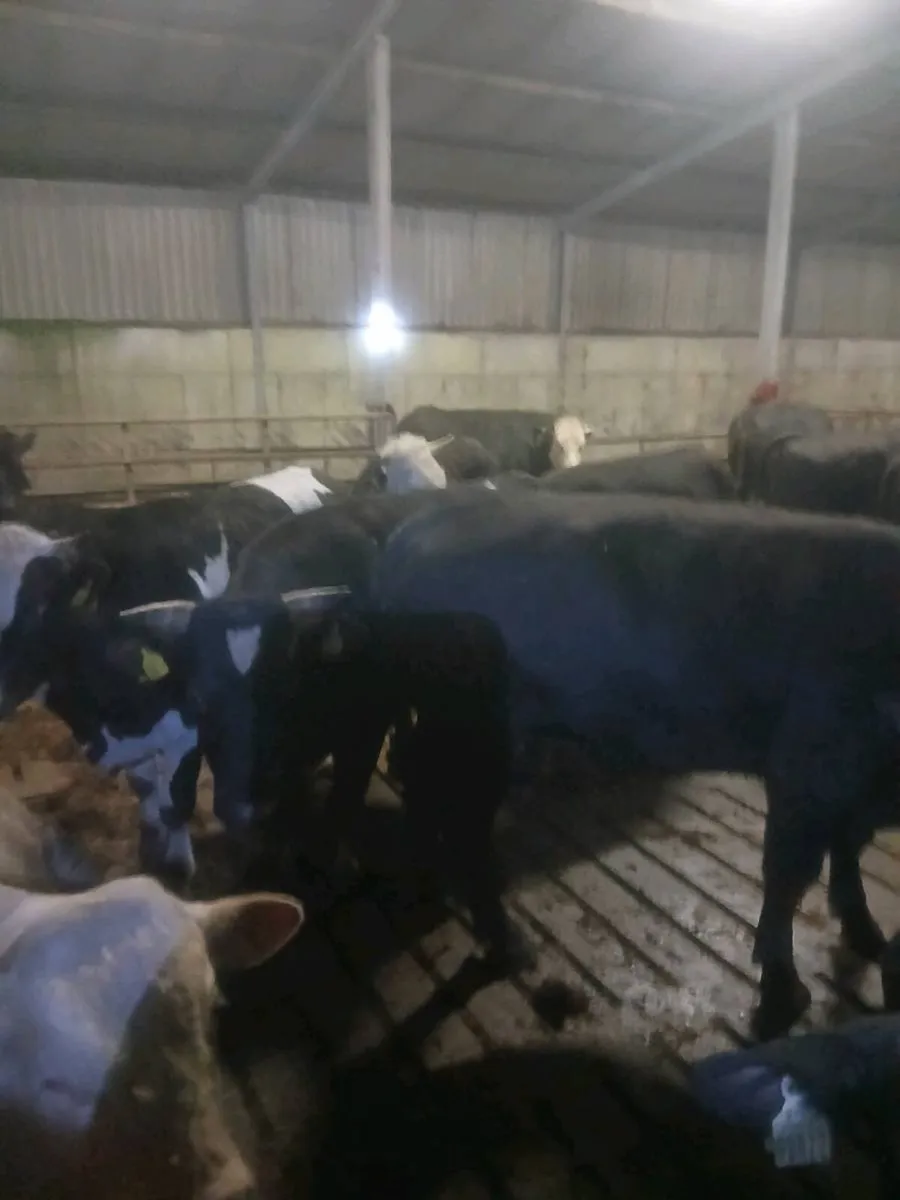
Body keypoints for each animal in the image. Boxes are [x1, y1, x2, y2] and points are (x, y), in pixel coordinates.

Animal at [349, 487, 900, 1040]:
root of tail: (407, 536)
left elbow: (848, 852)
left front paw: (866, 933)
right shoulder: (810, 762)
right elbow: (789, 878)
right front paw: (783, 989)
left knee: (425, 792)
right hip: (475, 729)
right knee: (462, 826)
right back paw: (508, 945)